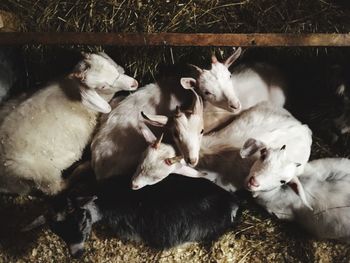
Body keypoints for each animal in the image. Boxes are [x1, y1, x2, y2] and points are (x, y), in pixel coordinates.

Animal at [0, 52, 138, 196]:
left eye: (111, 66)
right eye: (102, 86)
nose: (134, 83)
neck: (71, 88)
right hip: (42, 173)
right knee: (57, 188)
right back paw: (83, 168)